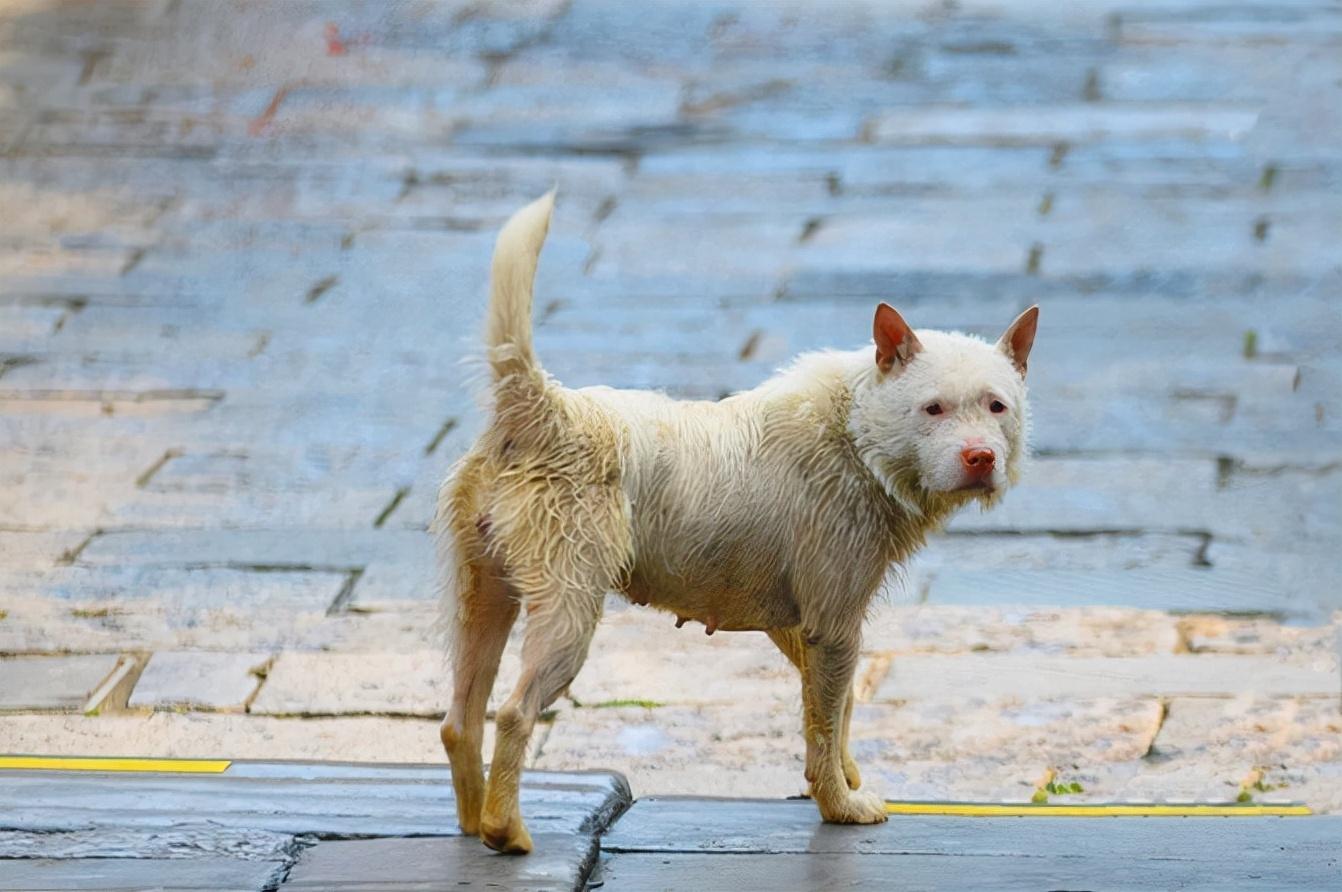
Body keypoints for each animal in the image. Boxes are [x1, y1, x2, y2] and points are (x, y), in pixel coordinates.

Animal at [434, 193, 1030, 847]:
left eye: (997, 406)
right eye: (933, 409)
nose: (981, 457)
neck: (855, 433)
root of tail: (541, 408)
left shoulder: (799, 624)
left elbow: (837, 704)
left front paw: (845, 775)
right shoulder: (832, 624)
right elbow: (825, 719)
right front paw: (838, 804)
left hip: (482, 596)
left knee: (460, 718)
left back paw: (472, 819)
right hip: (568, 611)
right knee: (515, 712)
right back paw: (505, 830)